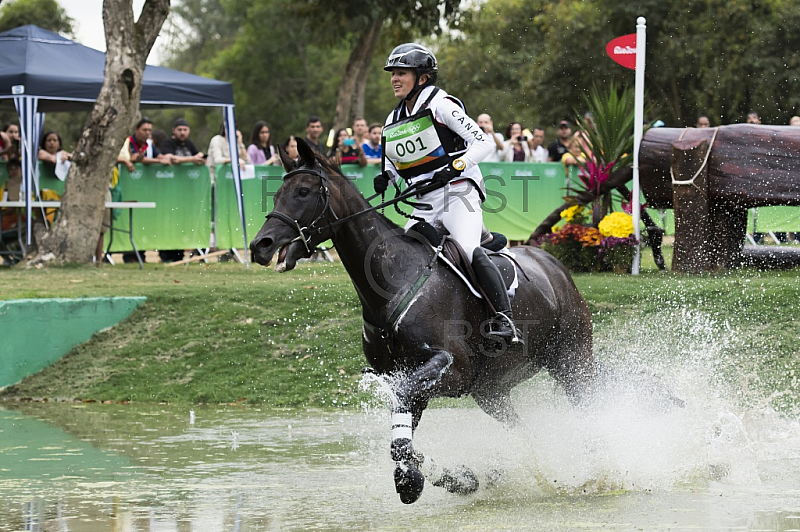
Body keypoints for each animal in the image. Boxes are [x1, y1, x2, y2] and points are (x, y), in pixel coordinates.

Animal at [250, 137, 592, 502]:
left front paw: (425, 477)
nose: (260, 245)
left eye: (303, 192)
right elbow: (401, 438)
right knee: (524, 430)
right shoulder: (419, 378)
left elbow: (401, 403)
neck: (392, 279)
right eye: (277, 194)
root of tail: (552, 264)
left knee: (589, 405)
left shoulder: (453, 371)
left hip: (572, 361)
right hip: (491, 391)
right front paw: (452, 479)